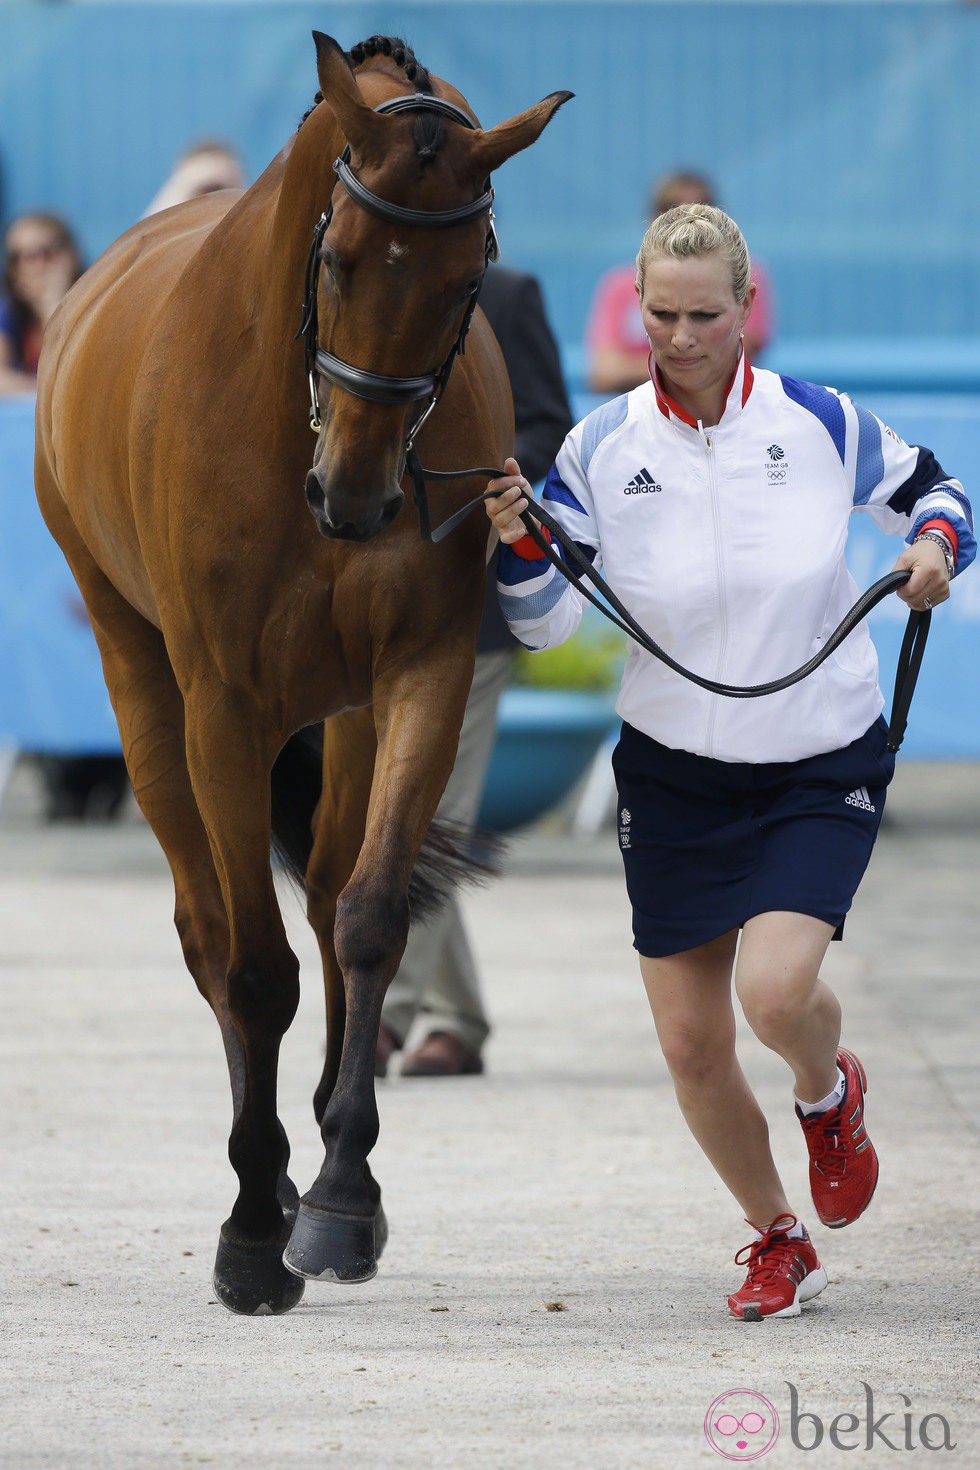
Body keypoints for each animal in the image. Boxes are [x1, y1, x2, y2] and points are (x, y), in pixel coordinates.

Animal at [34, 28, 570, 1317]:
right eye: (336, 256)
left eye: (467, 276)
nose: (362, 498)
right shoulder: (222, 709)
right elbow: (252, 964)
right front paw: (248, 1229)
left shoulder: (418, 674)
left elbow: (368, 918)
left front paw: (341, 1198)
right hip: (142, 686)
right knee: (208, 929)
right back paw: (262, 1180)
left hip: (343, 714)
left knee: (326, 896)